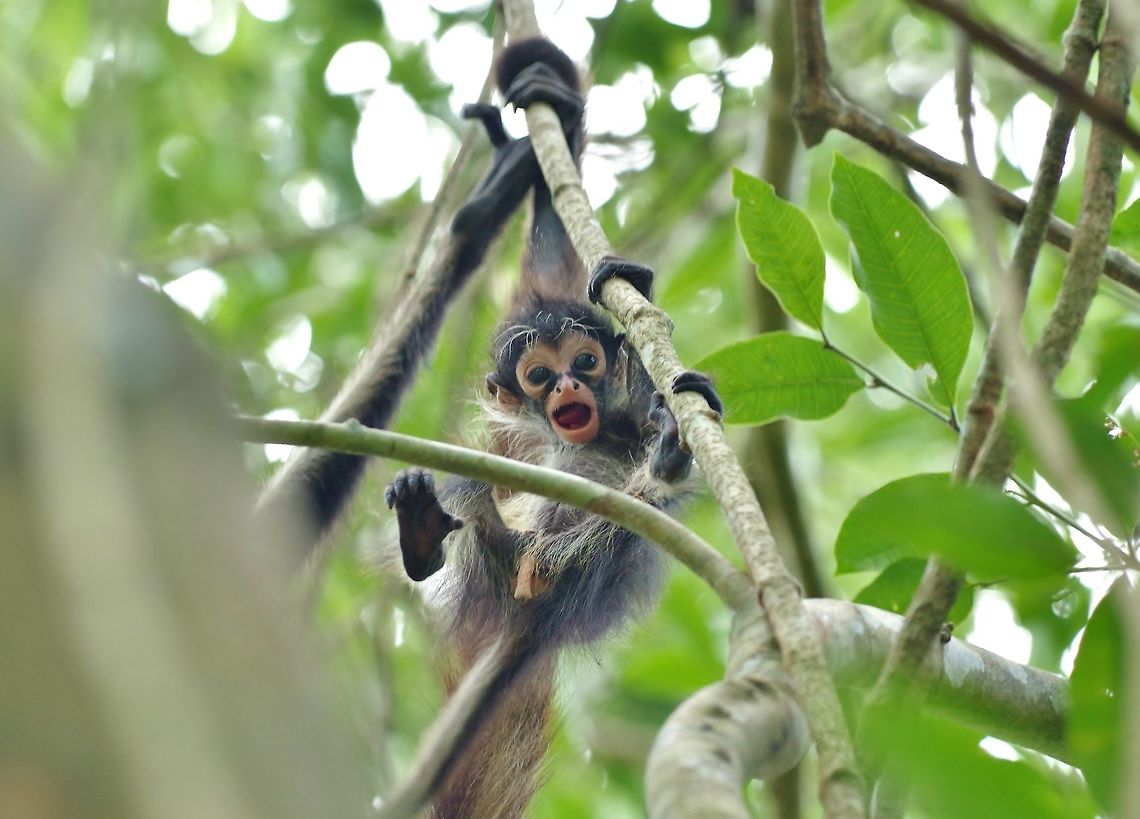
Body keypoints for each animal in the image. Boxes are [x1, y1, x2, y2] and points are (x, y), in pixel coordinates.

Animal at [381, 38, 723, 819]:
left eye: (585, 362)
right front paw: (549, 130)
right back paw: (423, 533)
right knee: (472, 502)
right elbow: (547, 260)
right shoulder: (523, 430)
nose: (568, 387)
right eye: (540, 375)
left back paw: (664, 463)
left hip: (580, 558)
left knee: (627, 515)